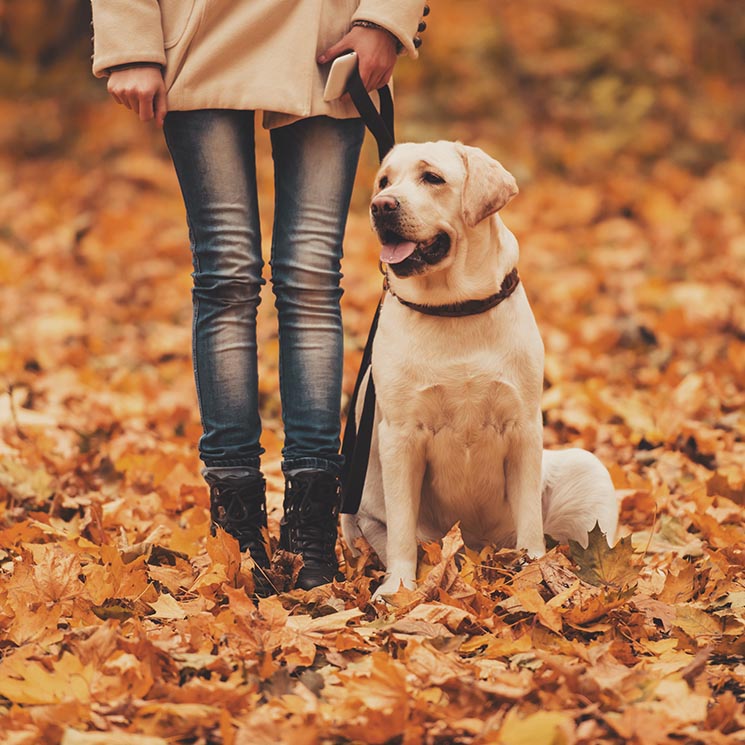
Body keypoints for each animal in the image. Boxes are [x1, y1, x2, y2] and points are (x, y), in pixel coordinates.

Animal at [342, 141, 616, 600]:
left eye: (432, 178)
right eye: (384, 181)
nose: (381, 206)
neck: (454, 308)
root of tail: (475, 550)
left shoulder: (524, 426)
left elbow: (530, 521)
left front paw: (535, 572)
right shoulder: (400, 436)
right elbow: (401, 531)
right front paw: (399, 588)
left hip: (586, 470)